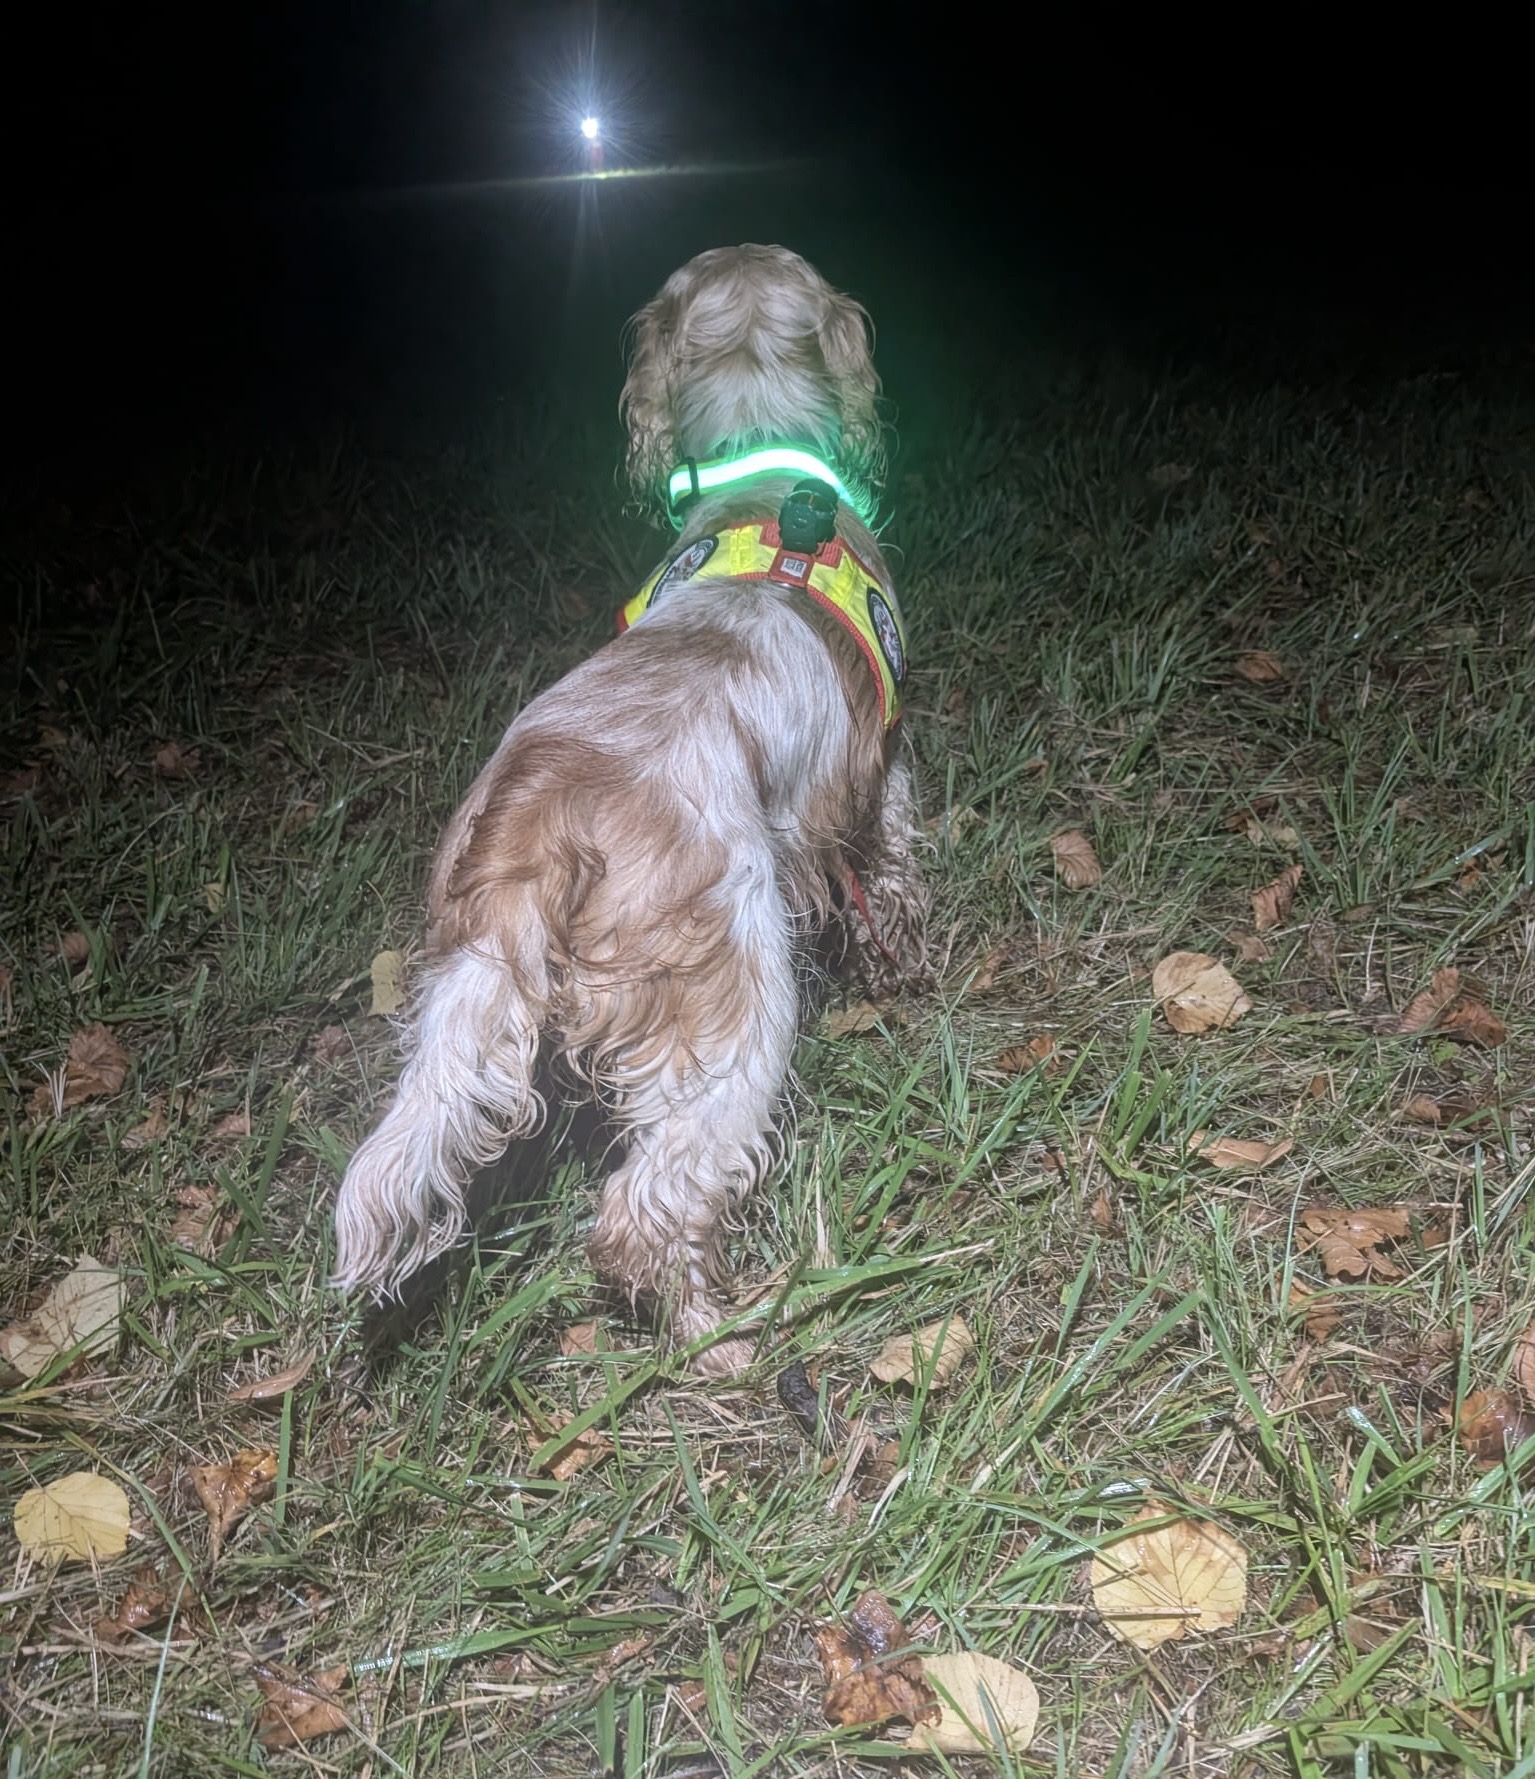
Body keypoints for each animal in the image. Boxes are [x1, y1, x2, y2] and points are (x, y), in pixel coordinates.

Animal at [332, 244, 929, 1372]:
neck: (759, 465)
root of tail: (548, 821)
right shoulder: (881, 785)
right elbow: (896, 889)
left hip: (466, 987)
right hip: (735, 1012)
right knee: (642, 1212)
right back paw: (722, 1336)